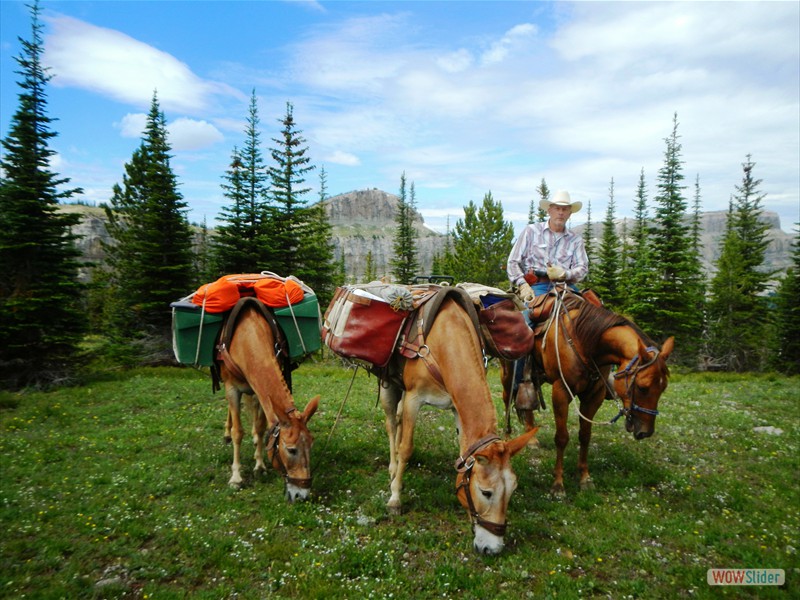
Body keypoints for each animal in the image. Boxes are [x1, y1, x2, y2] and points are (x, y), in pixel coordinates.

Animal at [219, 298, 322, 502]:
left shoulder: (259, 391)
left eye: (311, 445)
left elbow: (260, 427)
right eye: (291, 450)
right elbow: (237, 432)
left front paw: (259, 465)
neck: (247, 335)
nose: (302, 495)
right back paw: (226, 432)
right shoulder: (232, 388)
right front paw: (236, 477)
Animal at [380, 290, 536, 552]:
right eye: (486, 492)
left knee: (398, 421)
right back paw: (393, 469)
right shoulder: (413, 398)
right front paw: (395, 499)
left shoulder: (456, 407)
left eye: (513, 489)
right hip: (388, 384)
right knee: (392, 424)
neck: (446, 339)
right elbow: (406, 448)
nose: (493, 549)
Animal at [500, 288, 676, 496]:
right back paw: (507, 441)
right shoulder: (561, 391)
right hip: (508, 375)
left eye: (663, 388)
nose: (646, 432)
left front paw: (584, 477)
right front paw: (558, 484)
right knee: (507, 402)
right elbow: (562, 437)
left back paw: (532, 440)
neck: (585, 341)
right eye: (642, 387)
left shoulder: (594, 395)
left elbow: (585, 435)